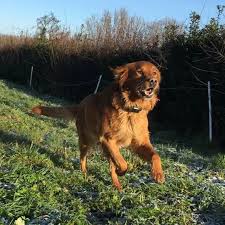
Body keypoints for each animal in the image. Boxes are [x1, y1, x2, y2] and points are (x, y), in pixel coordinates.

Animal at [31, 61, 164, 190]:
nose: (153, 81)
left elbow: (156, 155)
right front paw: (122, 171)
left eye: (155, 73)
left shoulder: (139, 143)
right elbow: (123, 163)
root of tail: (80, 104)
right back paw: (85, 174)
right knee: (83, 159)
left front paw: (158, 174)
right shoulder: (107, 140)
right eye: (139, 71)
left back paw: (117, 186)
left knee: (110, 165)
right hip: (86, 142)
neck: (130, 110)